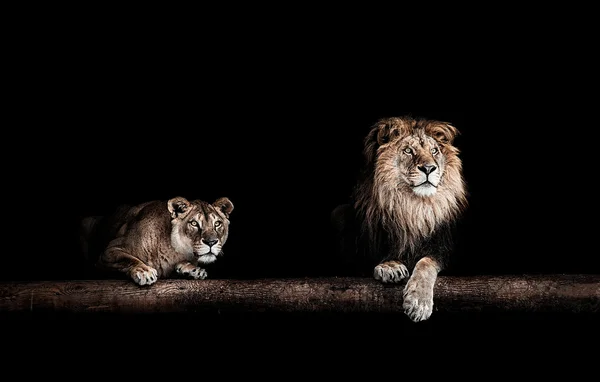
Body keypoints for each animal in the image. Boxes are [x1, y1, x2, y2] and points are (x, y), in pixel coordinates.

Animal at [81, 197, 234, 286]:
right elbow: (128, 259)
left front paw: (192, 270)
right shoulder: (109, 251)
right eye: (194, 223)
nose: (211, 242)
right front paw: (144, 271)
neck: (175, 250)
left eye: (217, 224)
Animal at [332, 115, 468, 322]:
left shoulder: (443, 248)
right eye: (408, 150)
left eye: (434, 151)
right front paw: (391, 267)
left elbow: (426, 262)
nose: (429, 168)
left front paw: (419, 303)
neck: (412, 206)